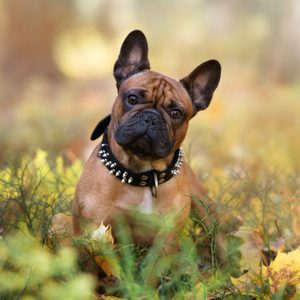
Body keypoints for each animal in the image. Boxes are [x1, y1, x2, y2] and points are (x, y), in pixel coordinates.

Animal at [73, 30, 220, 254]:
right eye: (132, 99)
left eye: (176, 113)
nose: (151, 117)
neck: (141, 173)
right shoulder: (93, 226)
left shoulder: (167, 238)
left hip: (207, 211)